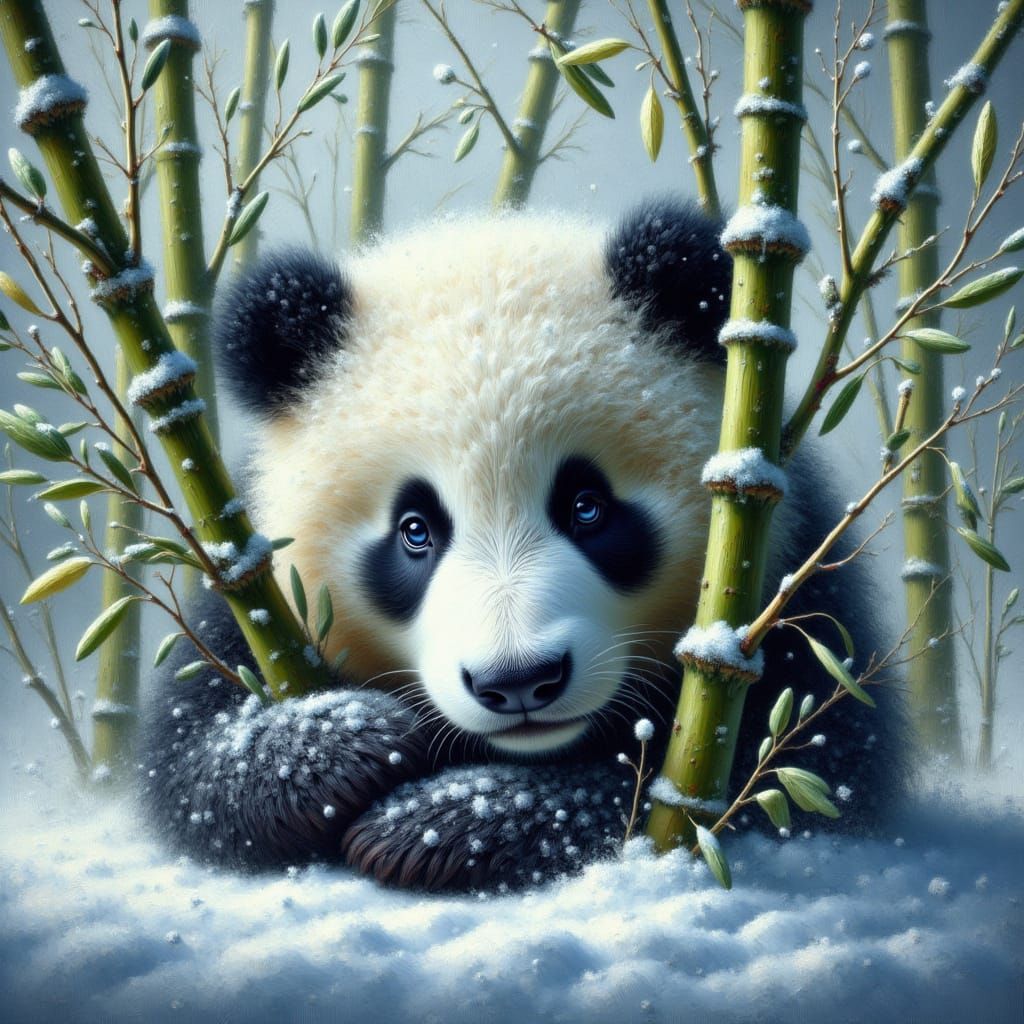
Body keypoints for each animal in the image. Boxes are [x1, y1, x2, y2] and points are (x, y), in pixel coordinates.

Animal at [140, 199, 902, 891]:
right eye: (414, 530)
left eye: (586, 507)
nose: (517, 681)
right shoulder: (253, 591)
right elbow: (191, 762)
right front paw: (347, 739)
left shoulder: (789, 592)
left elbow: (787, 776)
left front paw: (449, 822)